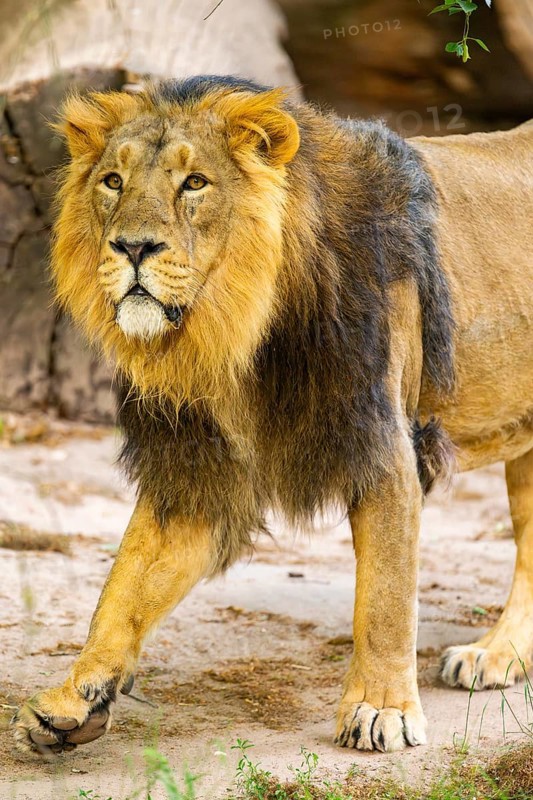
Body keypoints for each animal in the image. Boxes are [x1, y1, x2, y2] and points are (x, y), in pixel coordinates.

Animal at [12, 76, 533, 755]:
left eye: (195, 183)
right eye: (113, 182)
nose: (132, 247)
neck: (233, 332)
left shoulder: (383, 444)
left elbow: (386, 596)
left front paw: (381, 709)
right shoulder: (196, 465)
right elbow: (125, 585)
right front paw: (74, 698)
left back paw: (489, 653)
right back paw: (501, 654)